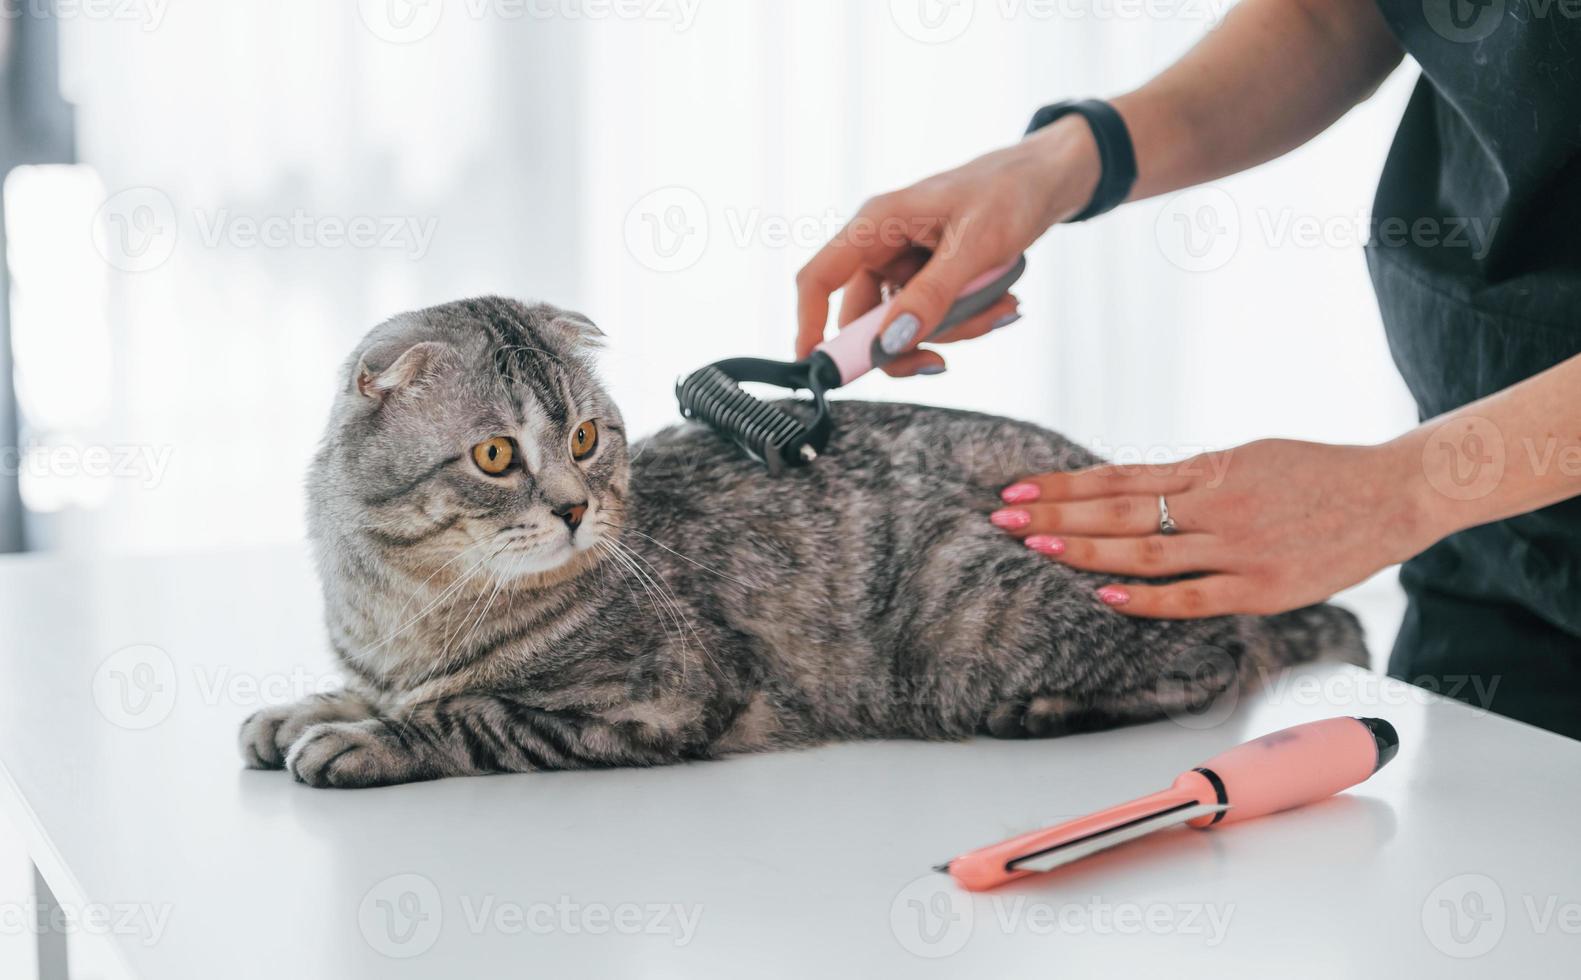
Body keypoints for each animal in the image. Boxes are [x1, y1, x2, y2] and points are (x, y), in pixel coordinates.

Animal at [233, 297, 1359, 787]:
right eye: (498, 453)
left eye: (587, 439)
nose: (573, 508)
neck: (410, 601)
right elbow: (371, 689)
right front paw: (304, 708)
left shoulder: (664, 697)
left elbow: (471, 714)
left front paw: (365, 737)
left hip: (970, 615)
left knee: (1216, 661)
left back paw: (1045, 713)